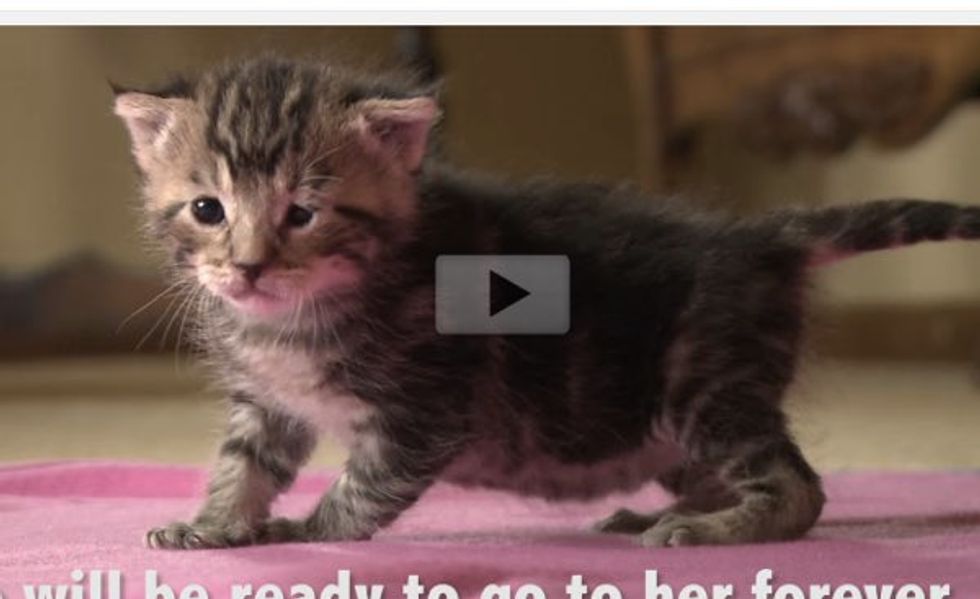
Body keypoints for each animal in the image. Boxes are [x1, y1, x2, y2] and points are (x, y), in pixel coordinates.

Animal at [113, 56, 980, 548]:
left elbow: (364, 487)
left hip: (705, 381)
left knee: (800, 488)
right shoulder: (266, 402)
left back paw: (713, 530)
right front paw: (216, 525)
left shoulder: (427, 408)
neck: (289, 317)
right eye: (208, 210)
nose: (248, 268)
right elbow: (242, 462)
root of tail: (760, 234)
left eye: (302, 213)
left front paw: (303, 528)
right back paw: (654, 514)